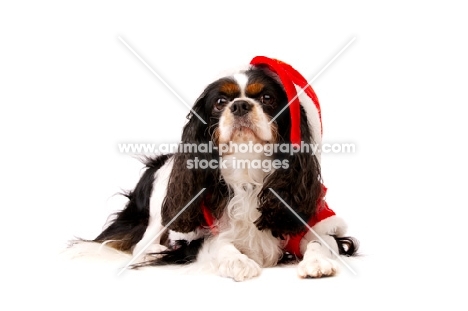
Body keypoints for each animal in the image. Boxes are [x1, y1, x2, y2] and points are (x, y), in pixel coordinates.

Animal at [88, 56, 358, 282]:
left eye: (267, 99)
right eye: (220, 102)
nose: (240, 105)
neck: (247, 163)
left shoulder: (314, 219)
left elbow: (320, 241)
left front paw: (317, 262)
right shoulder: (198, 237)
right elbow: (220, 243)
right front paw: (238, 261)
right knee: (143, 243)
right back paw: (153, 250)